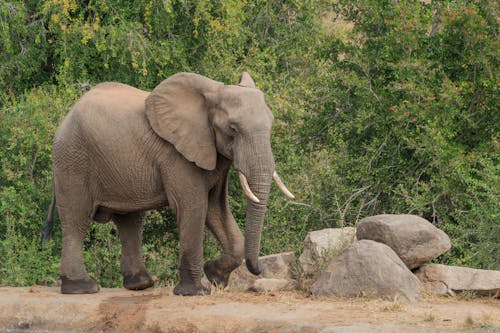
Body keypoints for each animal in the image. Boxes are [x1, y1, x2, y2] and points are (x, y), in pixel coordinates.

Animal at [44, 71, 292, 294]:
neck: (213, 93)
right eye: (233, 128)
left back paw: (141, 284)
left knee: (130, 221)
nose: (258, 270)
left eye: (271, 125)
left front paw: (215, 278)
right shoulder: (177, 155)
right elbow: (194, 207)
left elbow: (216, 208)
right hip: (73, 160)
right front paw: (196, 291)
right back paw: (82, 287)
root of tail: (67, 116)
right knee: (77, 218)